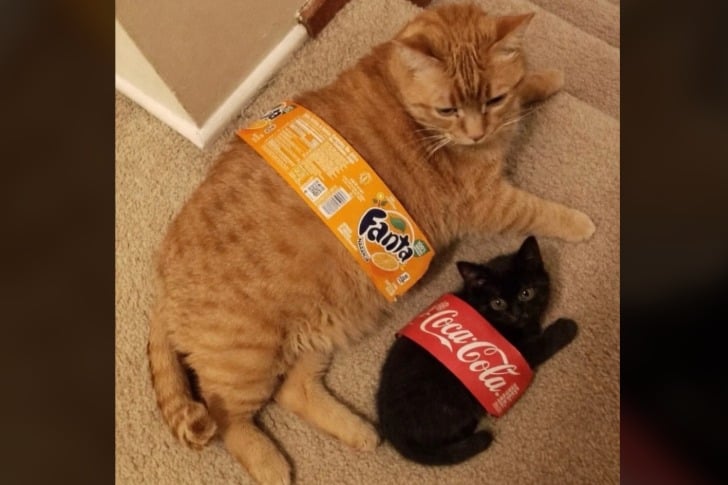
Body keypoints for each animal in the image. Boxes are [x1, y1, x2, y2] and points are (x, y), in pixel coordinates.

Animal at [376, 236, 578, 465]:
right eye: (497, 303)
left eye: (526, 293)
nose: (518, 313)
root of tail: (394, 434)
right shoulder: (514, 354)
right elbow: (542, 344)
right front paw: (566, 328)